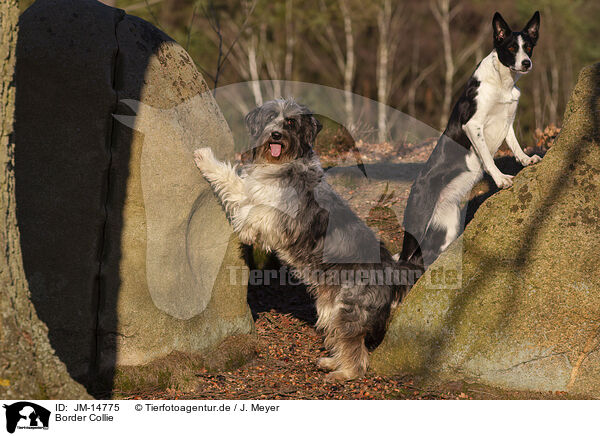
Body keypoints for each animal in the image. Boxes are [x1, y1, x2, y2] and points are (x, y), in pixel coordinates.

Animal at [195, 99, 420, 382]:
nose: (276, 135)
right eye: (270, 116)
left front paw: (244, 227)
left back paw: (343, 374)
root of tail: (392, 268)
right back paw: (331, 362)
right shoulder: (252, 191)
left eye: (290, 122)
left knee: (356, 349)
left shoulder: (286, 218)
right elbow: (233, 182)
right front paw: (204, 158)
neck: (283, 164)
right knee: (340, 339)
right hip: (330, 307)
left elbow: (257, 211)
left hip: (349, 309)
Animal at [400, 11, 540, 270]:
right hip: (417, 225)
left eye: (528, 47)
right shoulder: (472, 125)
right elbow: (487, 157)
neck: (502, 82)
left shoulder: (507, 121)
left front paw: (526, 160)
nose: (526, 63)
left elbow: (515, 145)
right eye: (511, 48)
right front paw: (501, 179)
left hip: (447, 231)